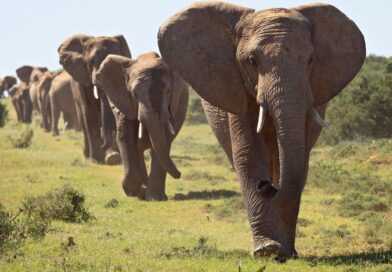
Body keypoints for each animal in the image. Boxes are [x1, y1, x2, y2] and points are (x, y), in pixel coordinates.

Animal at [57, 34, 132, 165]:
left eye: (115, 62)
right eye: (92, 62)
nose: (104, 146)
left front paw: (113, 158)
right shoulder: (82, 79)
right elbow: (89, 112)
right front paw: (96, 160)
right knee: (83, 123)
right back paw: (87, 156)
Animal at [94, 51, 188, 200]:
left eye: (168, 91)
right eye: (135, 94)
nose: (179, 174)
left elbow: (164, 140)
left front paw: (155, 198)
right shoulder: (124, 101)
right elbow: (126, 137)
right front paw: (133, 191)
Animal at [158, 1, 366, 258]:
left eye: (310, 60)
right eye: (252, 61)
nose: (266, 186)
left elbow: (300, 159)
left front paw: (284, 252)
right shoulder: (236, 87)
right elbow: (248, 154)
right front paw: (267, 250)